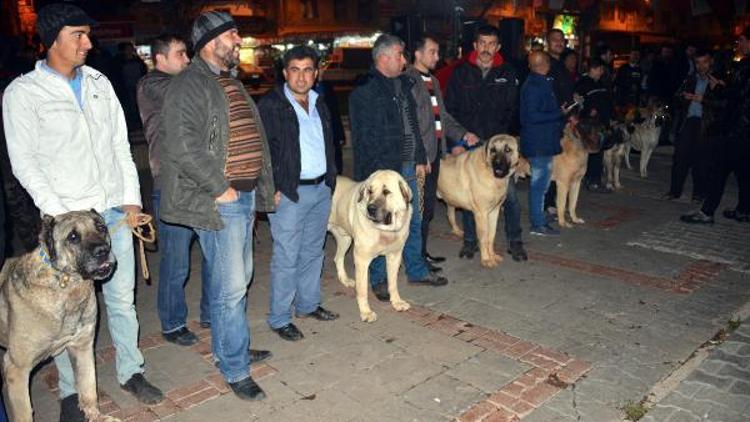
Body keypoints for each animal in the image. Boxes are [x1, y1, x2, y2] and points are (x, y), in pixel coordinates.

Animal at [0, 209, 119, 420]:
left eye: (101, 227)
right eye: (73, 237)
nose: (103, 251)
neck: (67, 285)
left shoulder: (82, 347)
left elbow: (89, 388)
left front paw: (96, 416)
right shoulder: (16, 369)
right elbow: (24, 413)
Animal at [328, 170, 412, 322]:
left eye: (386, 192)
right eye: (370, 191)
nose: (370, 209)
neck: (384, 230)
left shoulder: (394, 257)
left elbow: (393, 283)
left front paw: (397, 302)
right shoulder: (361, 260)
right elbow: (362, 290)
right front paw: (366, 312)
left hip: (345, 238)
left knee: (337, 258)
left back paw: (345, 280)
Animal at [440, 135, 524, 268]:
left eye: (508, 150)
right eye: (493, 150)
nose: (497, 164)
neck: (489, 171)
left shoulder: (494, 212)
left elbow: (491, 236)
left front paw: (492, 255)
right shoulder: (481, 214)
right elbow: (484, 237)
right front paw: (486, 259)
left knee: (450, 215)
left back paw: (457, 231)